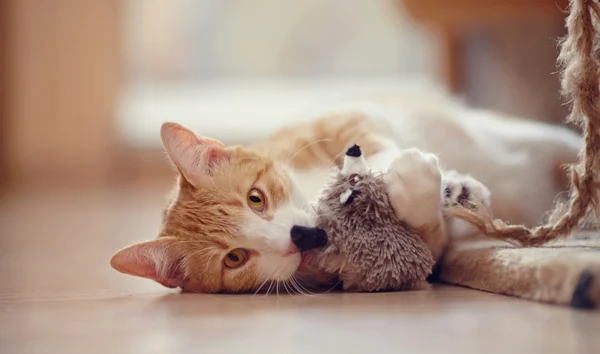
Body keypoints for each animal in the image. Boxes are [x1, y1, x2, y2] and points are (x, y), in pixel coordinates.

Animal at [109, 90, 580, 294]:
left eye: (255, 199)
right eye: (235, 259)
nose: (299, 238)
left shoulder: (342, 116)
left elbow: (371, 143)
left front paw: (444, 182)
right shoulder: (431, 251)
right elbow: (424, 236)